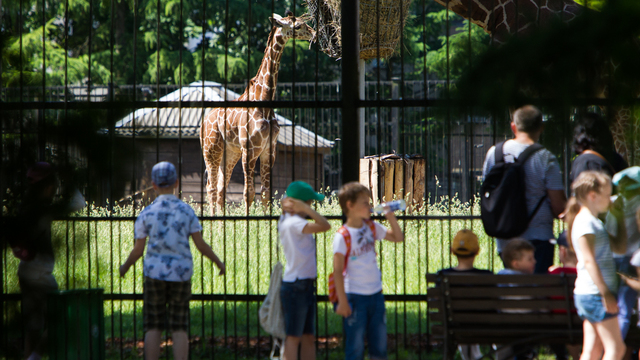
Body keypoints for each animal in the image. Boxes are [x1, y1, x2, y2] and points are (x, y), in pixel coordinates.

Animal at [198, 11, 312, 214]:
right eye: (297, 26)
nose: (313, 32)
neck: (264, 102)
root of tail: (202, 125)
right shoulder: (249, 149)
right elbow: (248, 193)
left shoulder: (269, 150)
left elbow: (266, 193)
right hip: (211, 150)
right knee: (211, 187)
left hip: (230, 153)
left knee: (220, 188)